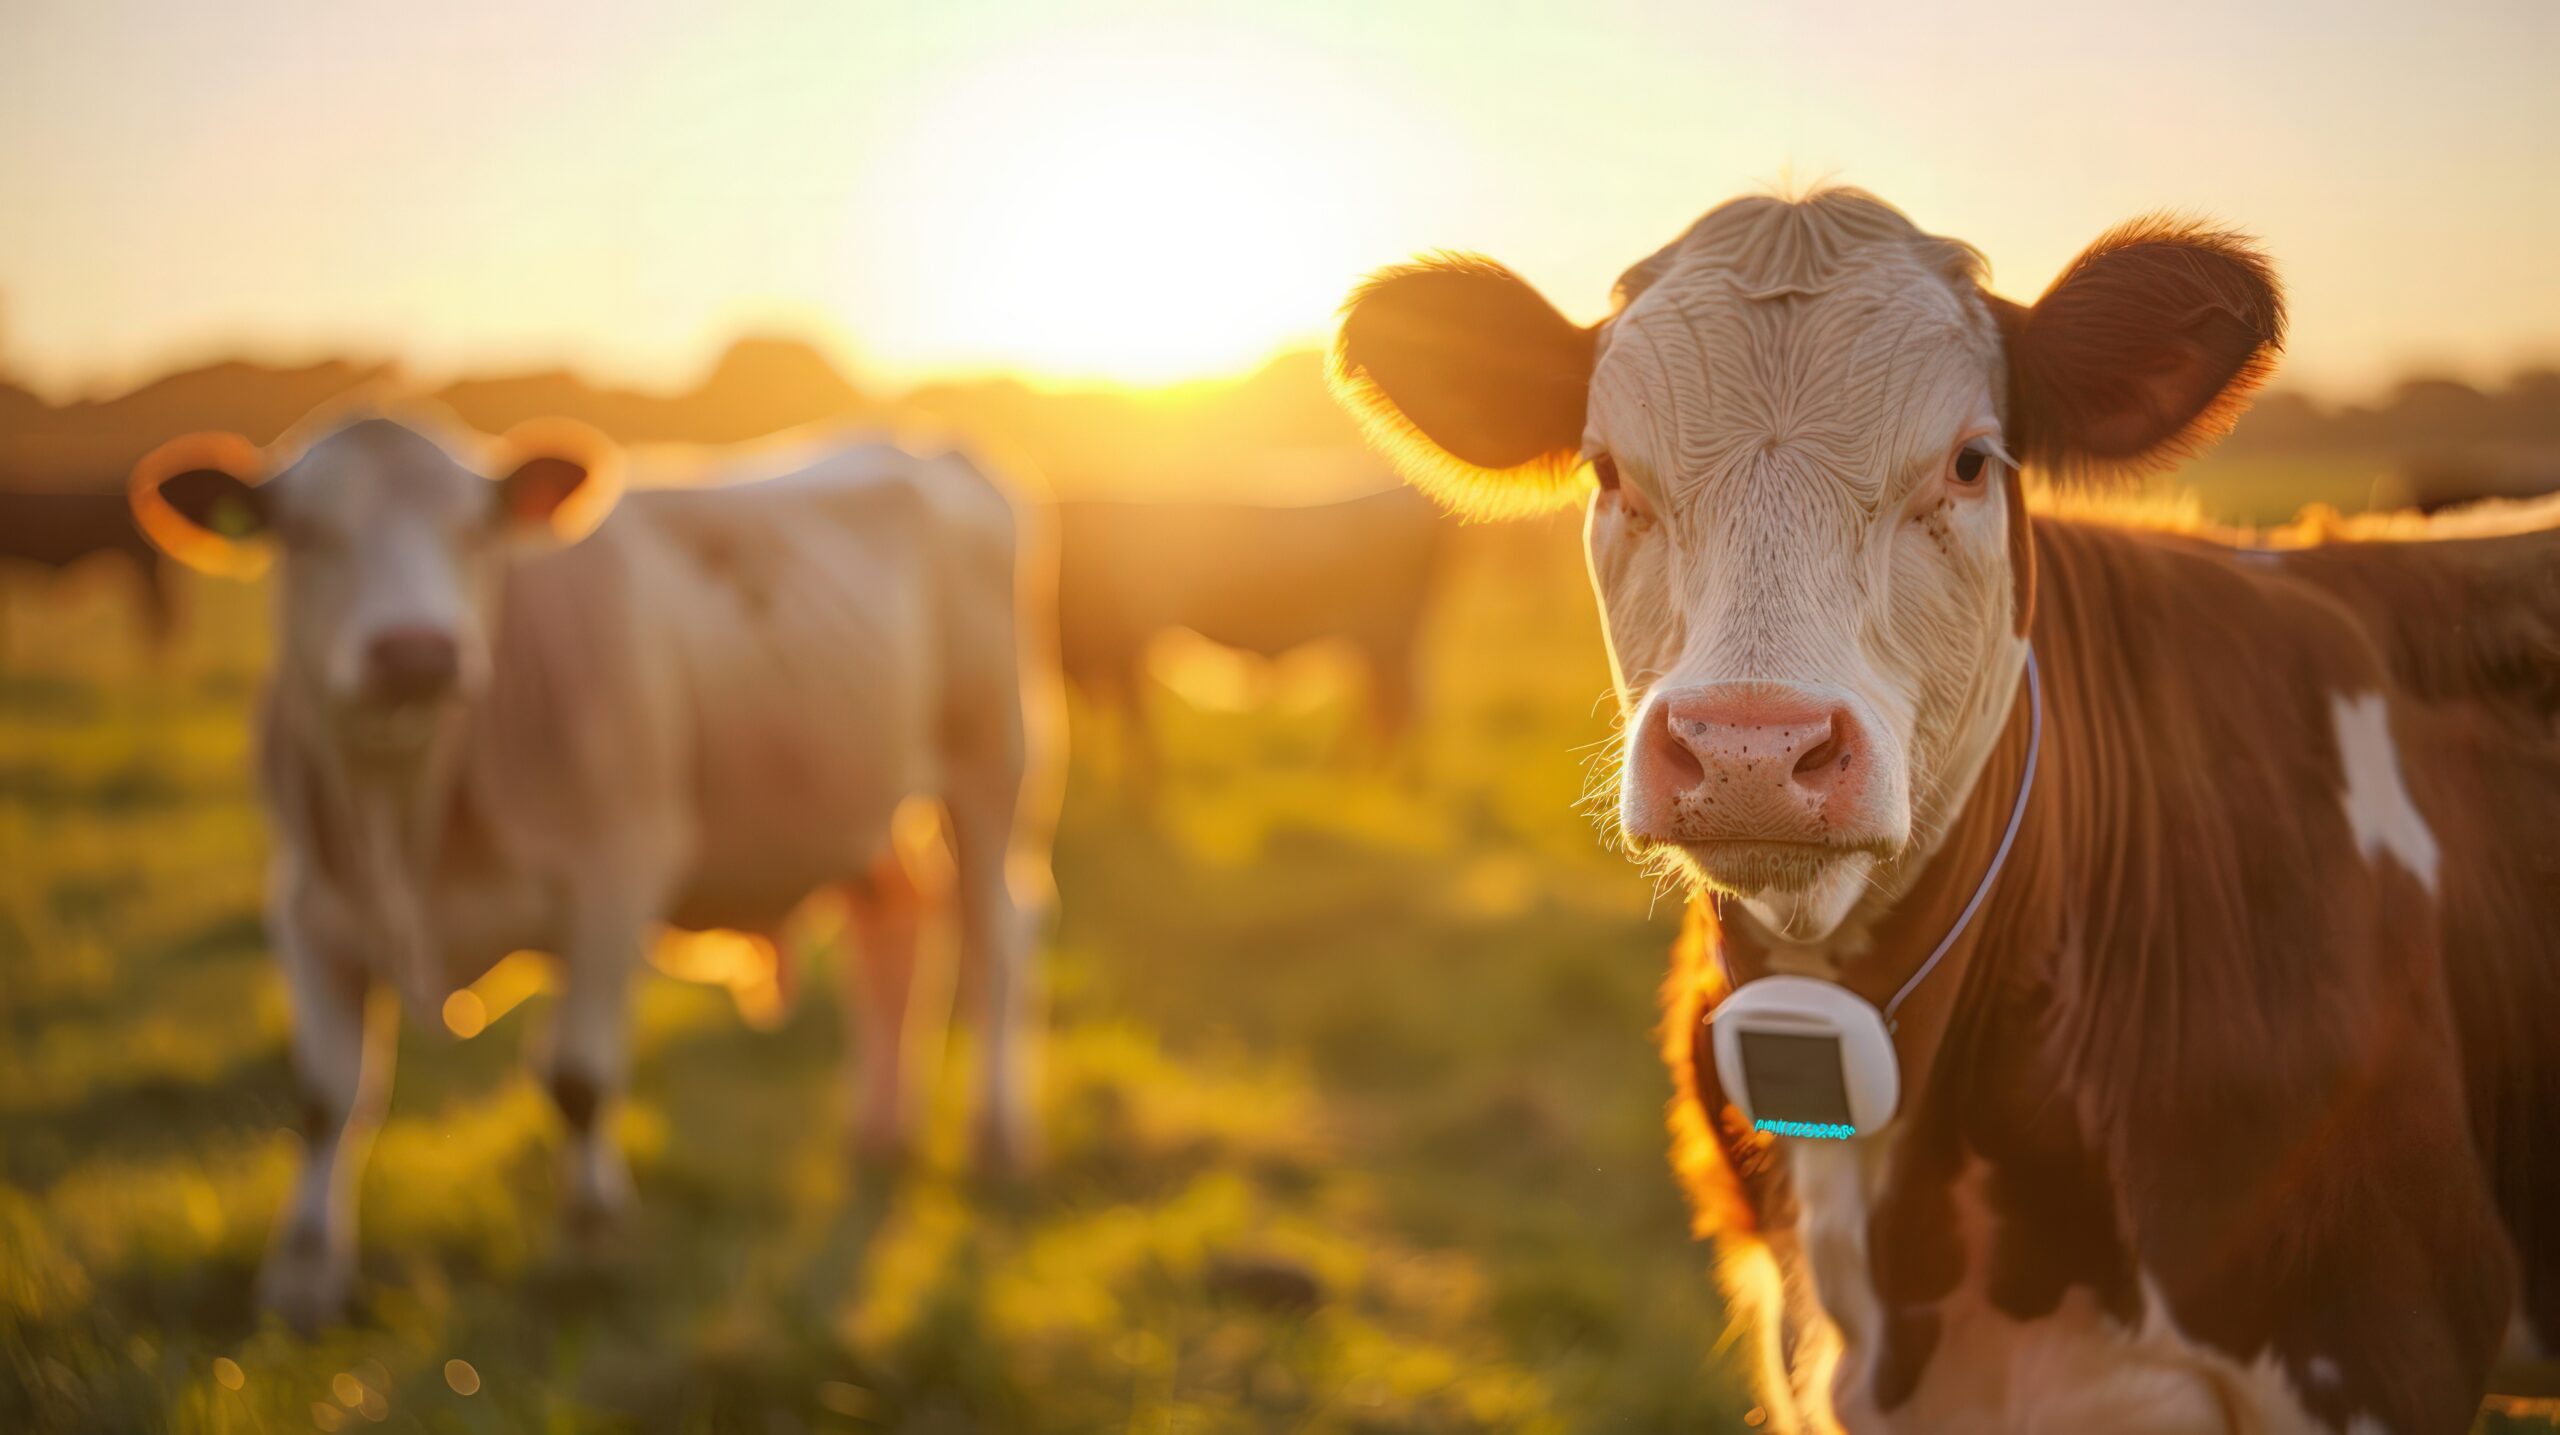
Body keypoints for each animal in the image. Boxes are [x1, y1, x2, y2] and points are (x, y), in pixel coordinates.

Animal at [127, 404, 1049, 1330]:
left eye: (476, 528)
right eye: (307, 533)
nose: (417, 652)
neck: (406, 813)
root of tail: (918, 441)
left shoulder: (615, 878)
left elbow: (578, 1075)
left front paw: (592, 1233)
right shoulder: (308, 908)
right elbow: (325, 1095)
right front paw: (305, 1270)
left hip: (987, 767)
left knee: (994, 941)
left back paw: (997, 1137)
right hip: (861, 800)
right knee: (893, 925)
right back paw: (879, 1130)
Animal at [1054, 483, 1454, 777]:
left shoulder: (1128, 640)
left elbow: (1136, 719)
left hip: (1388, 640)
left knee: (1400, 707)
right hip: (1377, 646)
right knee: (1385, 706)